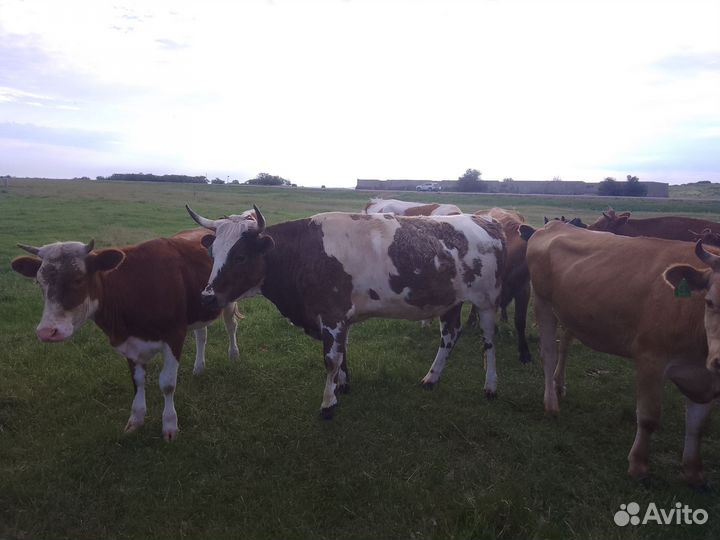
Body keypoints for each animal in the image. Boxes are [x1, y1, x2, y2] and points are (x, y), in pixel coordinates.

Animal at [10, 228, 242, 441]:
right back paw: (199, 367)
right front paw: (136, 419)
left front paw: (169, 425)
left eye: (78, 279)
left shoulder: (174, 335)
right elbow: (137, 381)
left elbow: (167, 384)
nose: (47, 331)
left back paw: (233, 355)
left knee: (231, 326)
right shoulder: (130, 343)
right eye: (39, 282)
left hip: (227, 302)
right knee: (201, 334)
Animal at [186, 205, 506, 418]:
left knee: (489, 341)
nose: (207, 297)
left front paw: (328, 404)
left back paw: (491, 386)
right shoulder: (339, 319)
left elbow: (330, 359)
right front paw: (342, 385)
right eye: (212, 253)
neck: (303, 252)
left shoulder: (332, 315)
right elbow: (342, 354)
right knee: (450, 336)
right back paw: (431, 378)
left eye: (240, 256)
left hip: (486, 302)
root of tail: (485, 220)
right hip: (450, 301)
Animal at [523, 220, 719, 485]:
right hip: (543, 303)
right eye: (710, 301)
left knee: (563, 344)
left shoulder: (707, 379)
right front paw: (638, 465)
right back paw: (551, 405)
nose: (719, 361)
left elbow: (698, 426)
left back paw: (558, 386)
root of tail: (553, 225)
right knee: (549, 352)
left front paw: (694, 472)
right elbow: (648, 417)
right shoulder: (650, 357)